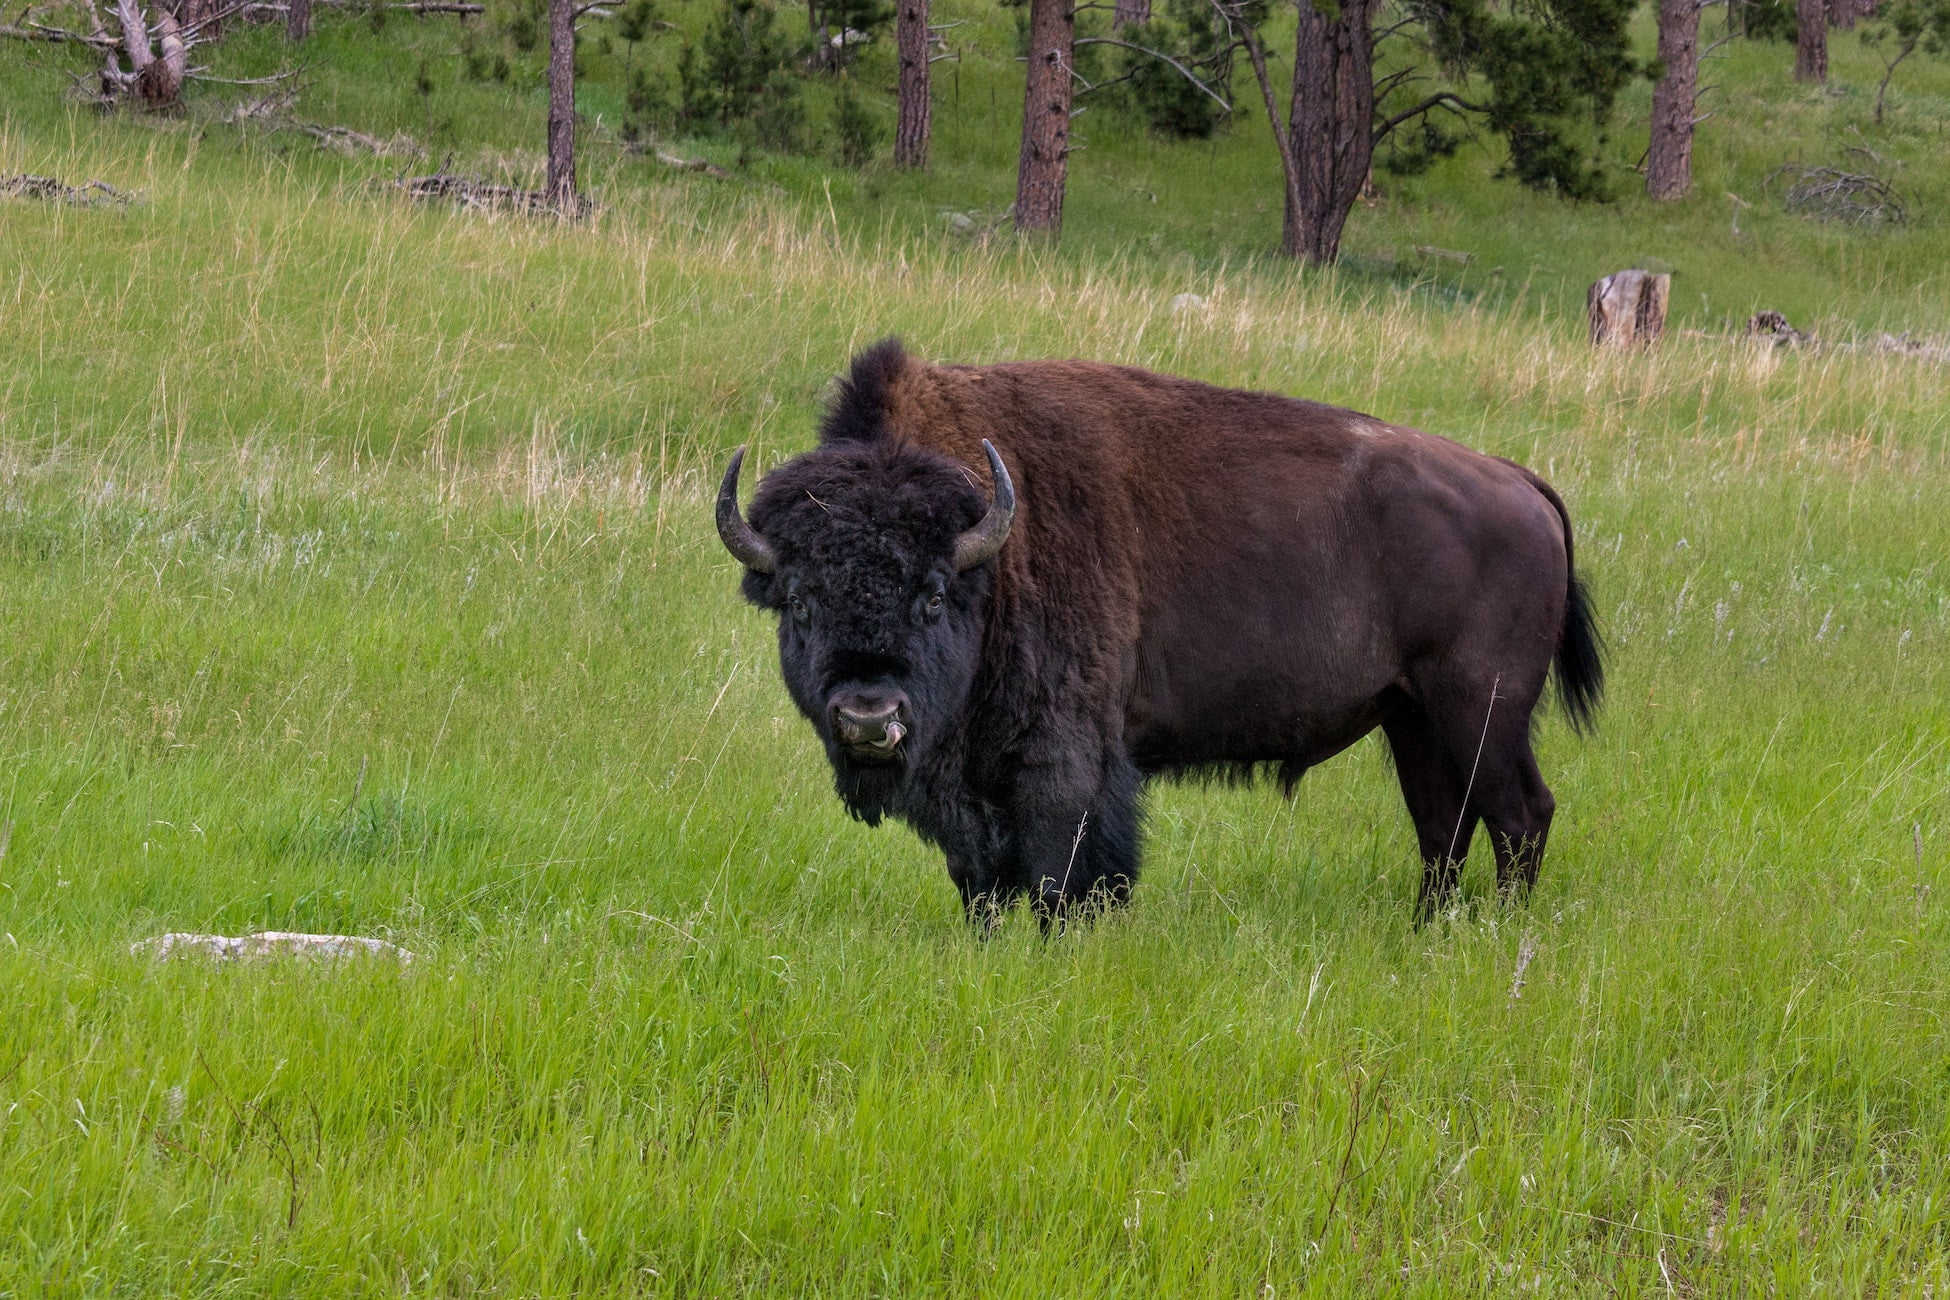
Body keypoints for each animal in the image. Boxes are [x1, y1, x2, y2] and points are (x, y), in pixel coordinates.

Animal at [717, 341, 1599, 919]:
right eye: (798, 599)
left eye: (933, 595)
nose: (868, 717)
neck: (991, 552)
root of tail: (1520, 482)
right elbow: (981, 883)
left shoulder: (1066, 762)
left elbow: (1062, 875)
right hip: (1412, 717)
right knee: (1443, 826)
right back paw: (1426, 933)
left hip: (1481, 710)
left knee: (1521, 817)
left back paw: (1498, 936)